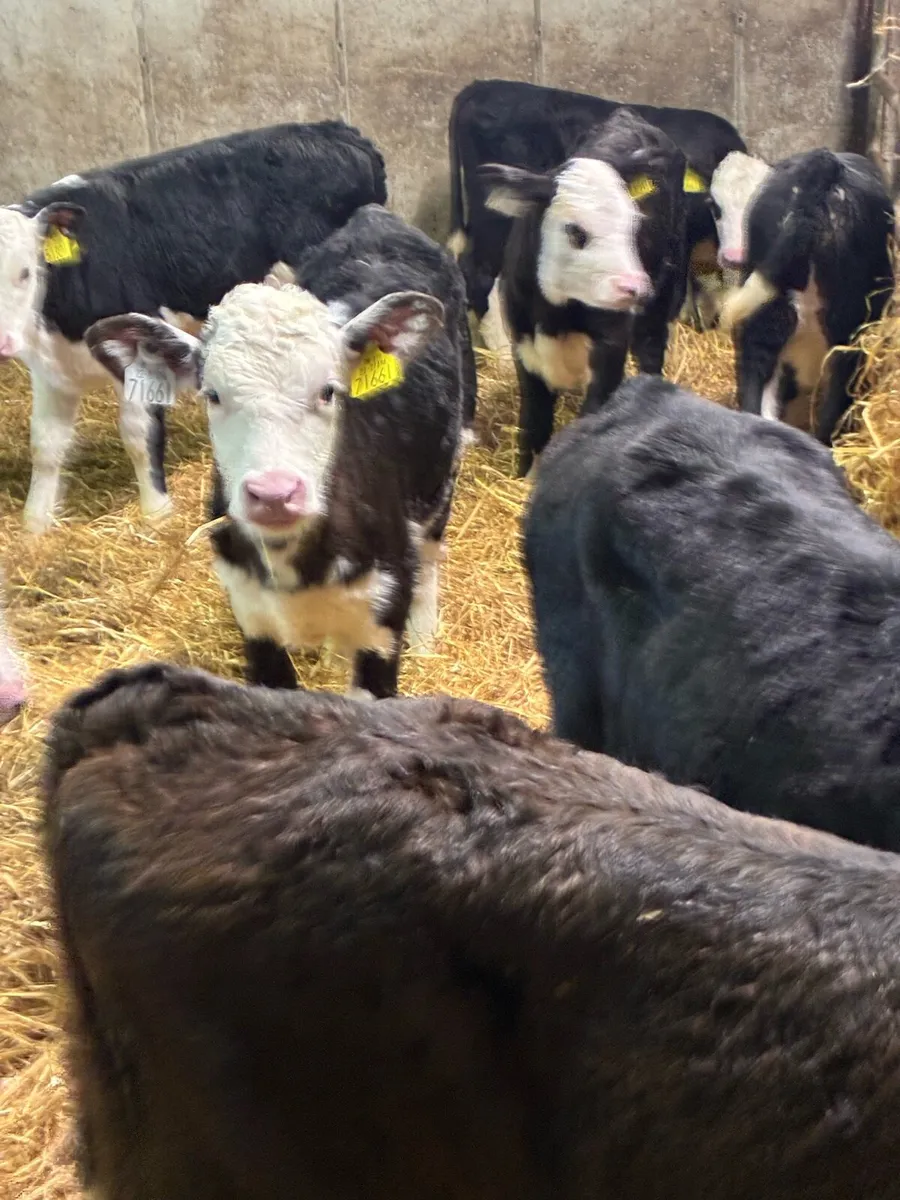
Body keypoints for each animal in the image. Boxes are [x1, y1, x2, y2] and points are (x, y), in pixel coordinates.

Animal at [0, 121, 387, 534]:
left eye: (25, 272)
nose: (3, 342)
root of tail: (336, 129)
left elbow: (138, 434)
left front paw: (156, 513)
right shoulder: (50, 369)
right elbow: (45, 443)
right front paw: (35, 523)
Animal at [86, 205, 474, 699]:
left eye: (329, 391)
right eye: (212, 395)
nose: (274, 493)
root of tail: (377, 217)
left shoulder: (383, 616)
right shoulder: (251, 616)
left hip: (445, 469)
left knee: (430, 554)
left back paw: (424, 635)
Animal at [478, 108, 687, 477]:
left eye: (634, 225)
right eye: (575, 231)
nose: (634, 286)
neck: (556, 315)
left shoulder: (610, 346)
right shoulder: (523, 345)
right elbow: (534, 422)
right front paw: (523, 475)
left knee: (650, 350)